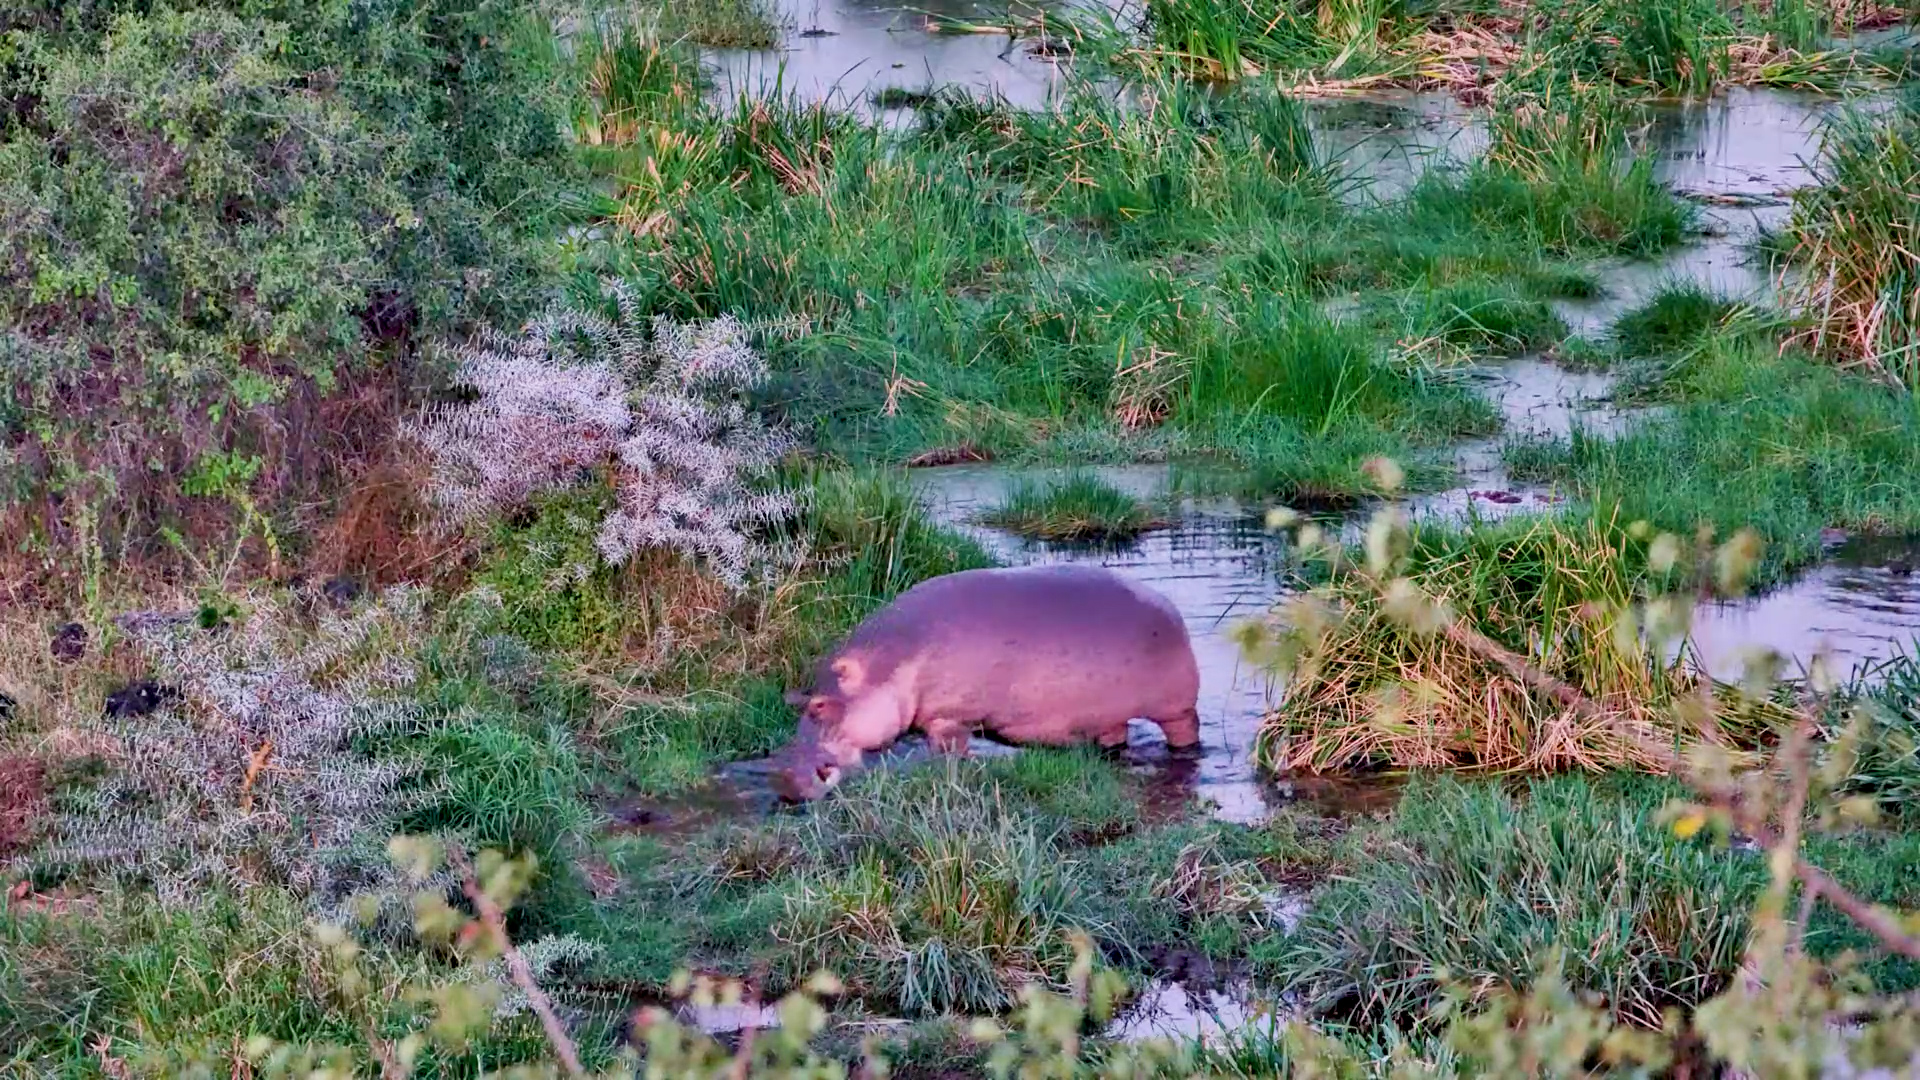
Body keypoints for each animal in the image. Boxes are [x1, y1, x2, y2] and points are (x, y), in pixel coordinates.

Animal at [769, 564, 1201, 800]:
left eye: (818, 706)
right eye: (794, 699)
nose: (784, 778)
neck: (888, 663)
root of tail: (1168, 605)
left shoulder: (949, 715)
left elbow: (949, 749)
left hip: (1176, 706)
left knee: (1185, 731)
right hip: (1108, 714)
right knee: (1115, 736)